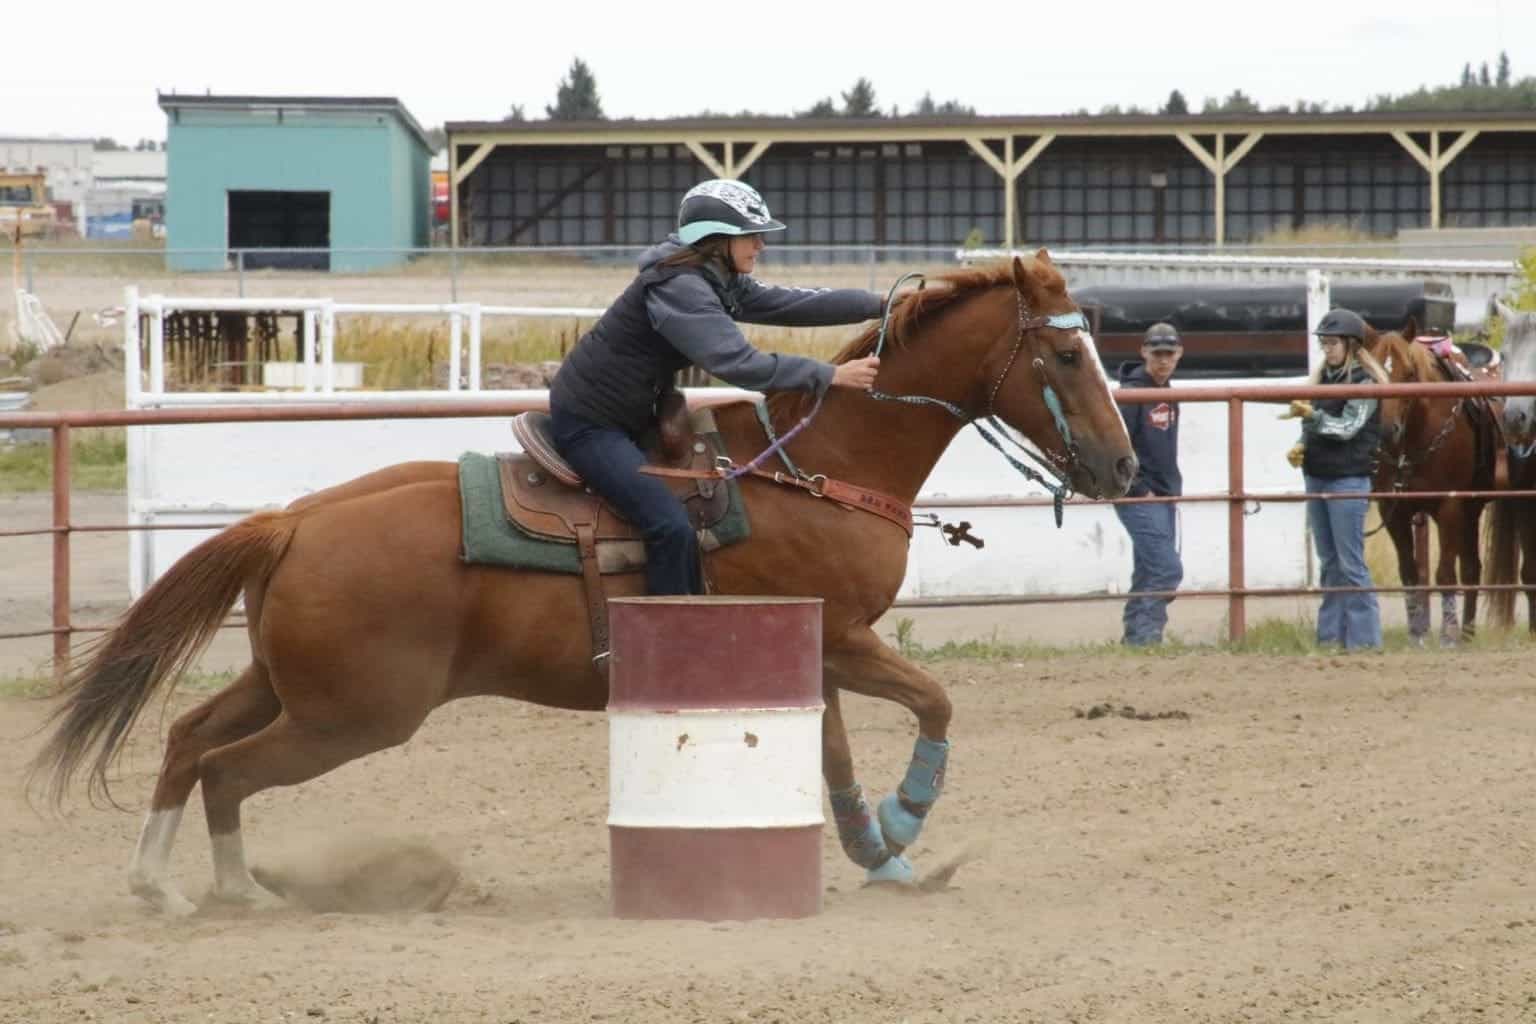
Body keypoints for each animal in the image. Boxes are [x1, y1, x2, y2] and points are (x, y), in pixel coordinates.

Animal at [21, 251, 1130, 914]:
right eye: (1069, 355)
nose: (1122, 468)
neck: (816, 466)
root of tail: (292, 522)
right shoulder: (845, 638)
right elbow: (931, 702)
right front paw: (906, 827)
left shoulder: (809, 651)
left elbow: (835, 757)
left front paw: (880, 852)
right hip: (354, 714)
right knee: (226, 767)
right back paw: (239, 893)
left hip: (289, 684)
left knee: (186, 740)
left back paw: (157, 883)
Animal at [1370, 333, 1499, 644]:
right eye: (1371, 374)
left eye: (1410, 373)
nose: (1388, 431)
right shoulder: (1393, 511)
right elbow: (1409, 572)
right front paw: (1417, 632)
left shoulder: (1449, 507)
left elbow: (1444, 574)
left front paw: (1447, 635)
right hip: (1472, 510)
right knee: (1472, 568)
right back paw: (1467, 632)